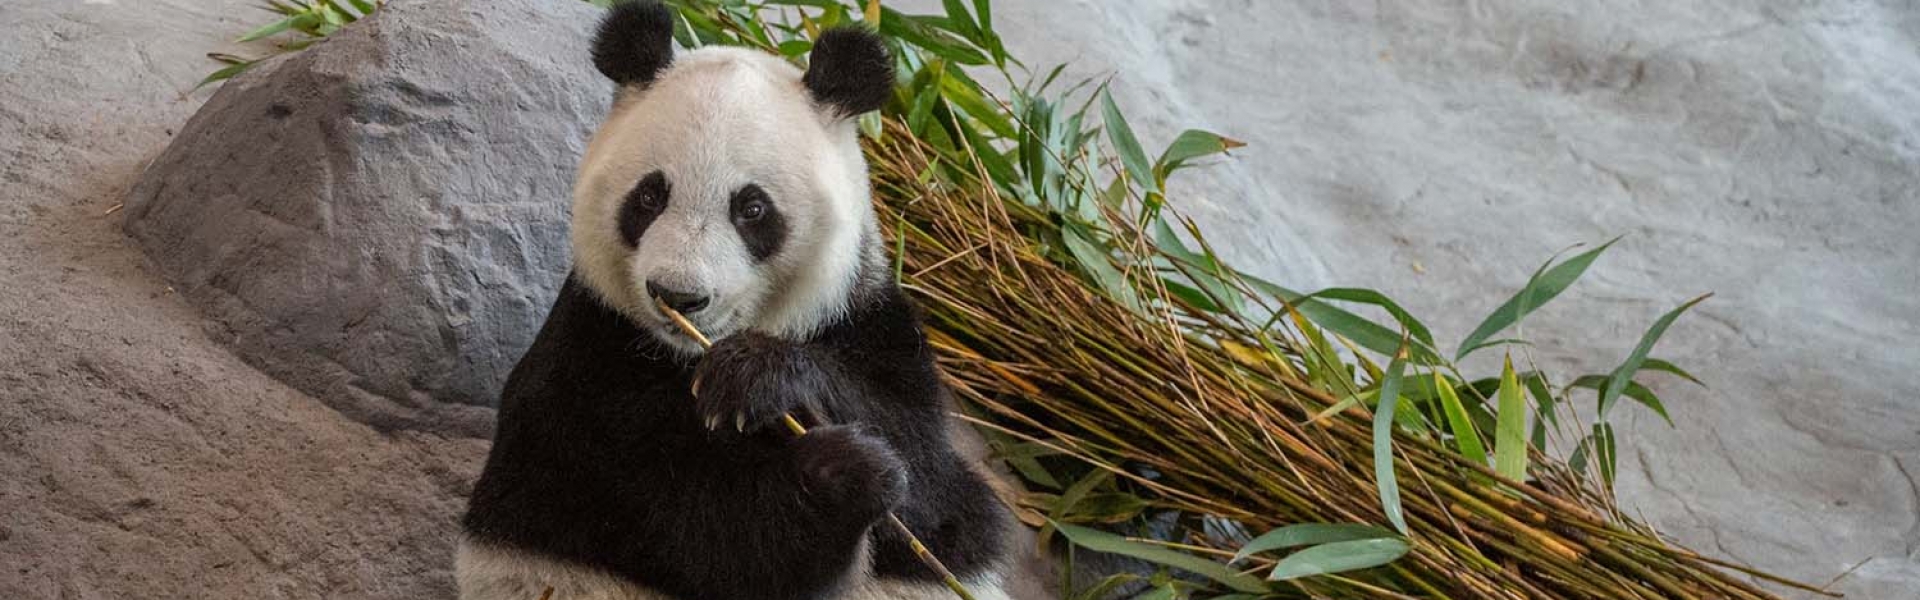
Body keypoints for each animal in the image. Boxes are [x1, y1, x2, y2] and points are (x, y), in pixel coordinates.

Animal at [455, 3, 1013, 600]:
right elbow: (695, 532)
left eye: (752, 209)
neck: (685, 358)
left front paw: (759, 374)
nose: (678, 296)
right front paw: (839, 478)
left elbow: (933, 484)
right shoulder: (586, 356)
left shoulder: (864, 322)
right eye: (649, 196)